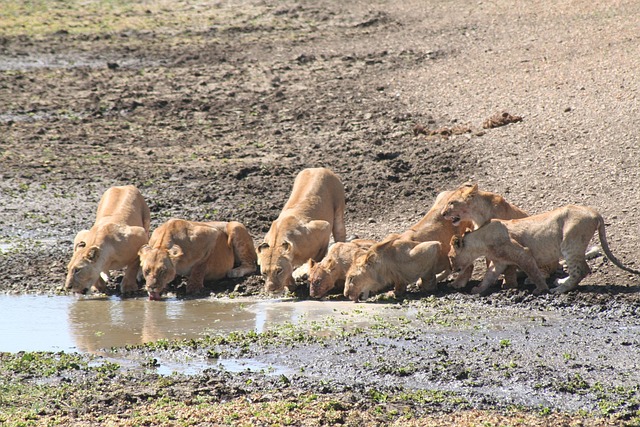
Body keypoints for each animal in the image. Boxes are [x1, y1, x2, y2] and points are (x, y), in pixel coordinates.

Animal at [448, 206, 640, 296]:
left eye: (450, 256)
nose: (452, 268)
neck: (481, 241)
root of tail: (594, 212)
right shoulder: (499, 262)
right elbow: (489, 277)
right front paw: (478, 289)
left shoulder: (523, 253)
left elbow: (532, 272)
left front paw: (540, 289)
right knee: (582, 269)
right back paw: (561, 282)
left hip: (569, 242)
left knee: (581, 270)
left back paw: (559, 289)